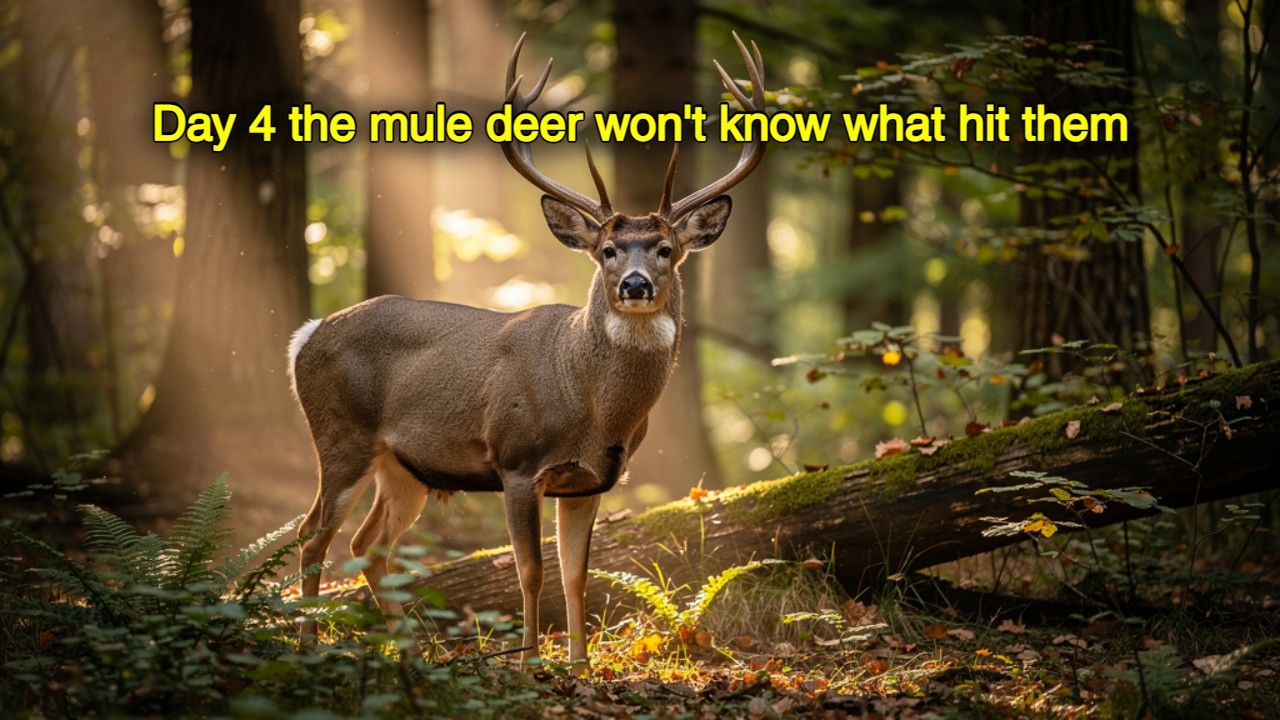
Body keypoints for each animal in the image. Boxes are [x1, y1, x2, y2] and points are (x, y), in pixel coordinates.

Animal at [289, 32, 765, 666]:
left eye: (665, 248)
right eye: (608, 250)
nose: (635, 285)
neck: (590, 401)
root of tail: (306, 334)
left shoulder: (591, 479)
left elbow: (576, 574)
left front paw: (581, 663)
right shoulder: (515, 460)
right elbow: (531, 571)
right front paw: (531, 661)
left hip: (404, 464)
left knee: (369, 541)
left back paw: (408, 651)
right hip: (341, 435)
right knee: (311, 534)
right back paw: (308, 643)